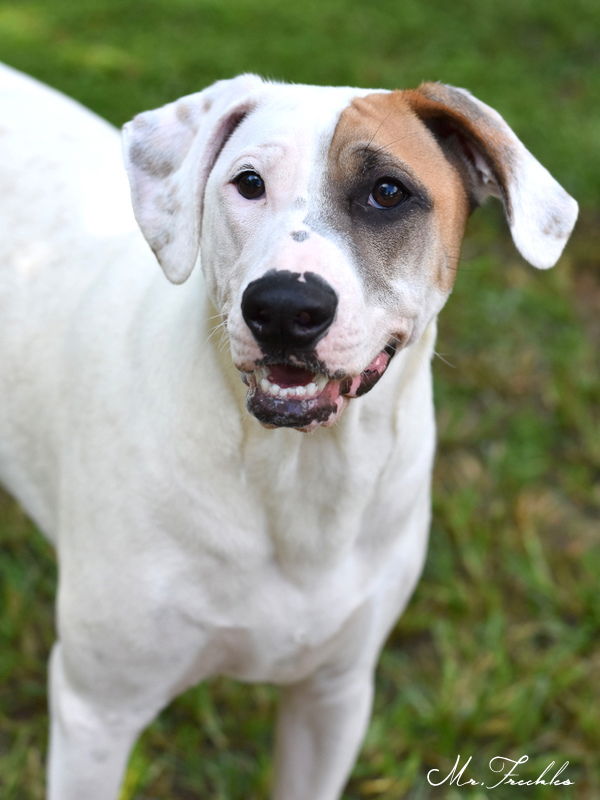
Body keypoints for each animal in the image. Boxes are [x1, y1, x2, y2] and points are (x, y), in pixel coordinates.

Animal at [2, 64, 580, 800]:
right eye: (248, 182)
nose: (282, 307)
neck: (297, 475)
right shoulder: (96, 712)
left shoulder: (334, 695)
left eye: (388, 193)